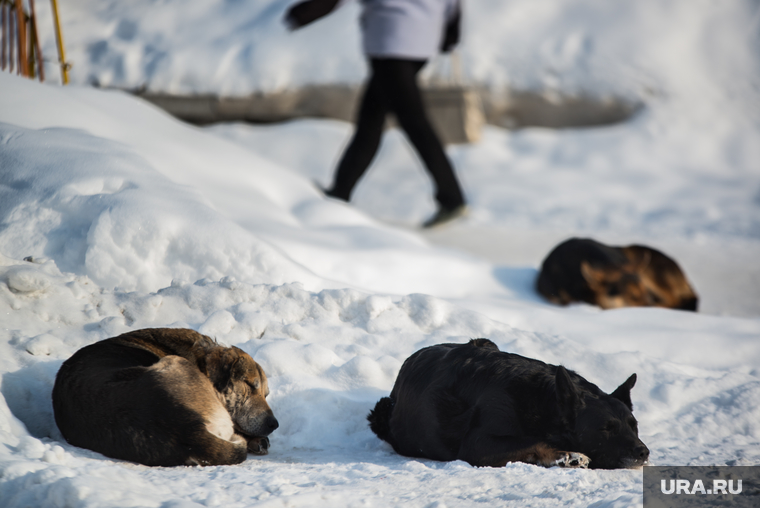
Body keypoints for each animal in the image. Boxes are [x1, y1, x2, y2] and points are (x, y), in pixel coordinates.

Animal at [53, 328, 280, 466]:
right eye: (250, 386)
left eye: (266, 394)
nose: (274, 424)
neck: (200, 357)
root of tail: (188, 429)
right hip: (175, 362)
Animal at [366, 340, 648, 470]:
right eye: (606, 429)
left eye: (634, 426)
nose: (643, 452)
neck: (543, 400)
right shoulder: (477, 444)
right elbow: (531, 440)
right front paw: (567, 454)